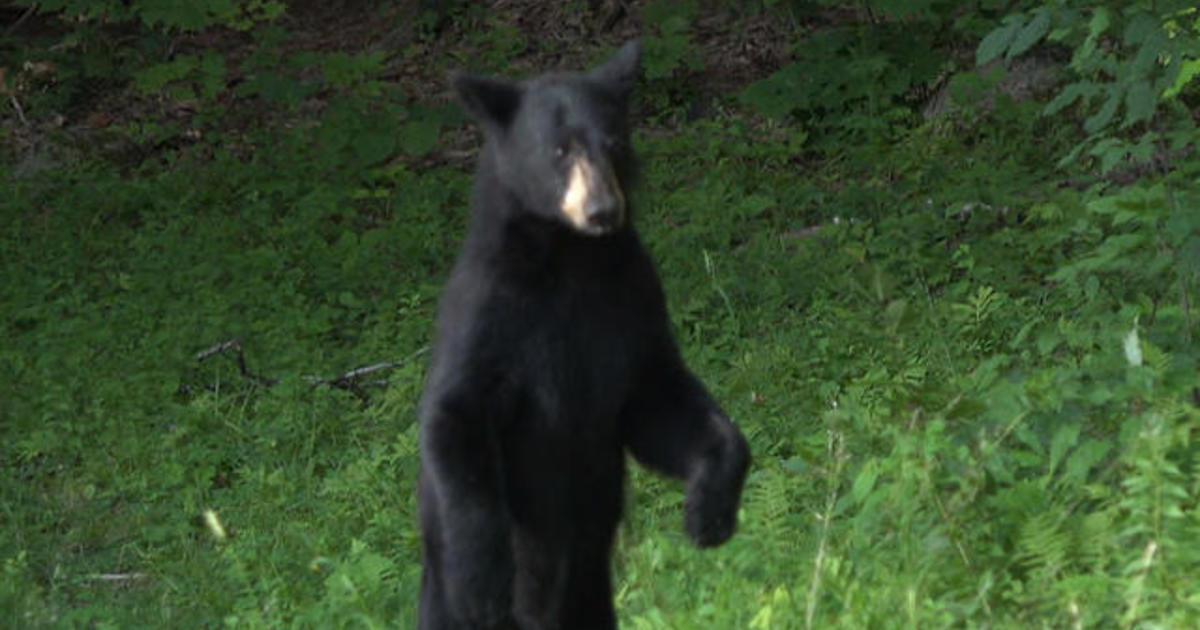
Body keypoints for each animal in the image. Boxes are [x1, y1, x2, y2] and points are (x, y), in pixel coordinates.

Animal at [417, 41, 744, 624]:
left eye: (612, 141)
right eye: (559, 150)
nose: (602, 210)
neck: (570, 258)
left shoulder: (630, 300)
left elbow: (659, 398)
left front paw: (709, 514)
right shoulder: (490, 312)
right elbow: (456, 416)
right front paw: (482, 583)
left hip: (591, 588)